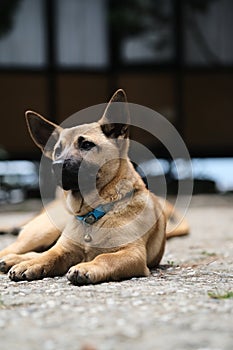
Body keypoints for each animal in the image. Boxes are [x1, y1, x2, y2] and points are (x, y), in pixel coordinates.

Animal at [0, 89, 189, 284]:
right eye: (58, 151)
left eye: (86, 145)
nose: (56, 165)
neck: (92, 215)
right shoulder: (64, 249)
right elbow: (49, 255)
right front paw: (31, 264)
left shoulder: (132, 254)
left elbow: (105, 257)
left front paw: (87, 267)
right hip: (42, 232)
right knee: (22, 250)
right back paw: (15, 258)